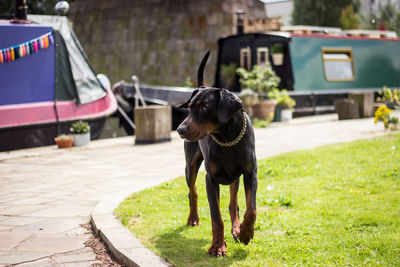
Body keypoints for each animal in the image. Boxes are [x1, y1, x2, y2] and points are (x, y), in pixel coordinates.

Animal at [177, 50, 258, 258]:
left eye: (204, 107)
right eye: (189, 107)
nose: (180, 130)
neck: (227, 138)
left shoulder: (250, 173)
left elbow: (251, 209)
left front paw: (245, 233)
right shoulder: (211, 179)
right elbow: (216, 217)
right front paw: (217, 247)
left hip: (234, 177)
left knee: (233, 203)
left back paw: (237, 228)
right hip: (190, 165)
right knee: (193, 192)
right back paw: (193, 218)